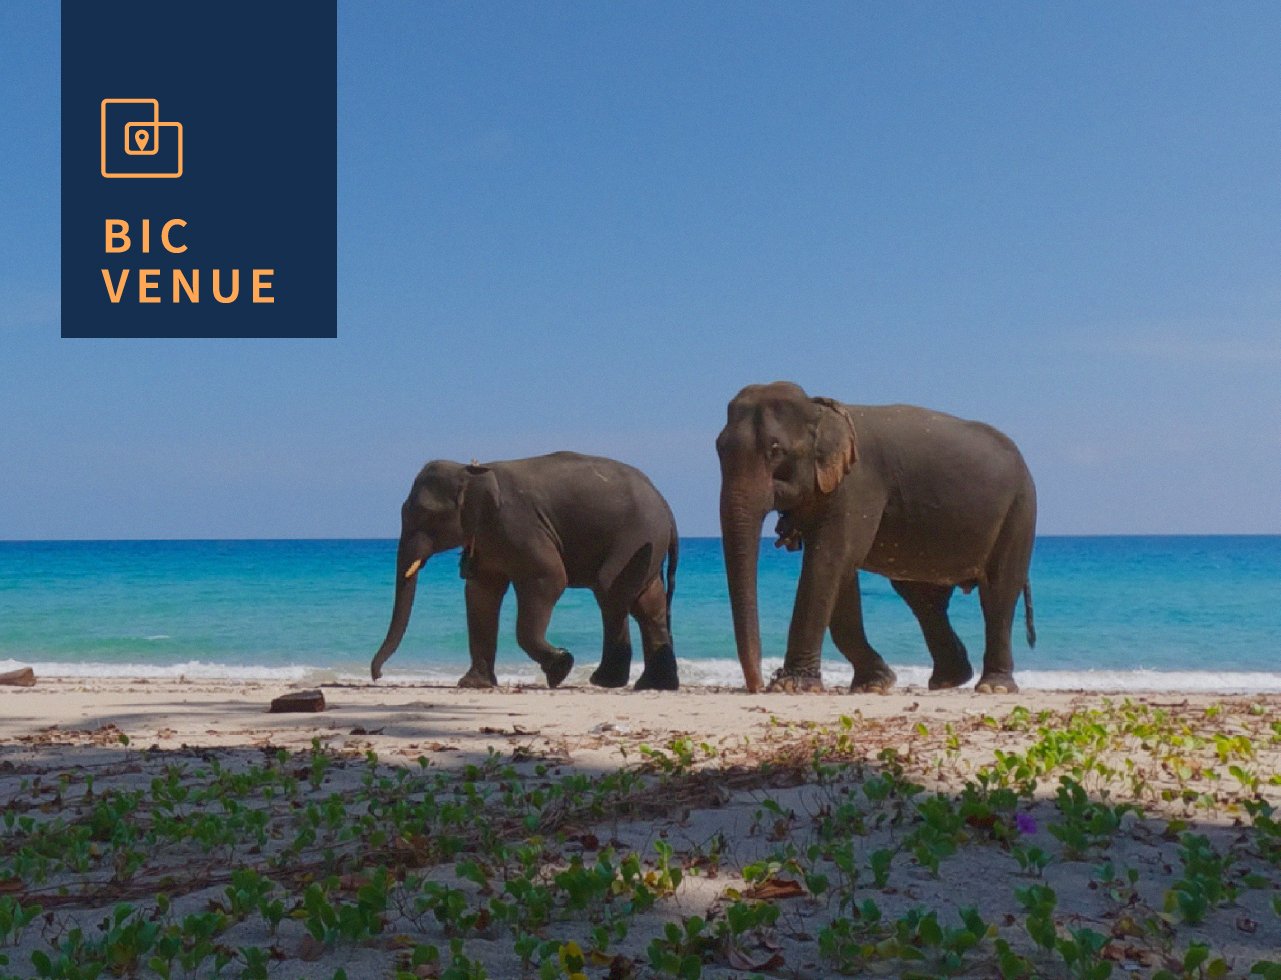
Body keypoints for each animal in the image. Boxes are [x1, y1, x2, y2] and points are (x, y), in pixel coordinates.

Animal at [370, 452, 681, 691]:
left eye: (425, 514)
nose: (377, 675)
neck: (471, 470)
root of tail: (666, 507)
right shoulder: (488, 538)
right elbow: (481, 594)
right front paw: (474, 684)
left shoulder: (519, 525)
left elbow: (550, 578)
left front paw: (561, 667)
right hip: (648, 543)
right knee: (647, 605)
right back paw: (654, 685)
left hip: (635, 538)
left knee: (610, 593)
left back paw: (604, 681)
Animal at [716, 381, 1036, 695]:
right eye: (719, 449)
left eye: (776, 450)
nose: (759, 685)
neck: (818, 410)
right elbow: (840, 573)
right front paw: (874, 683)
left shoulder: (857, 486)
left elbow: (829, 561)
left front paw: (790, 685)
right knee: (923, 599)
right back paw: (949, 680)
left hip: (1020, 511)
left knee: (998, 592)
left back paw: (994, 687)